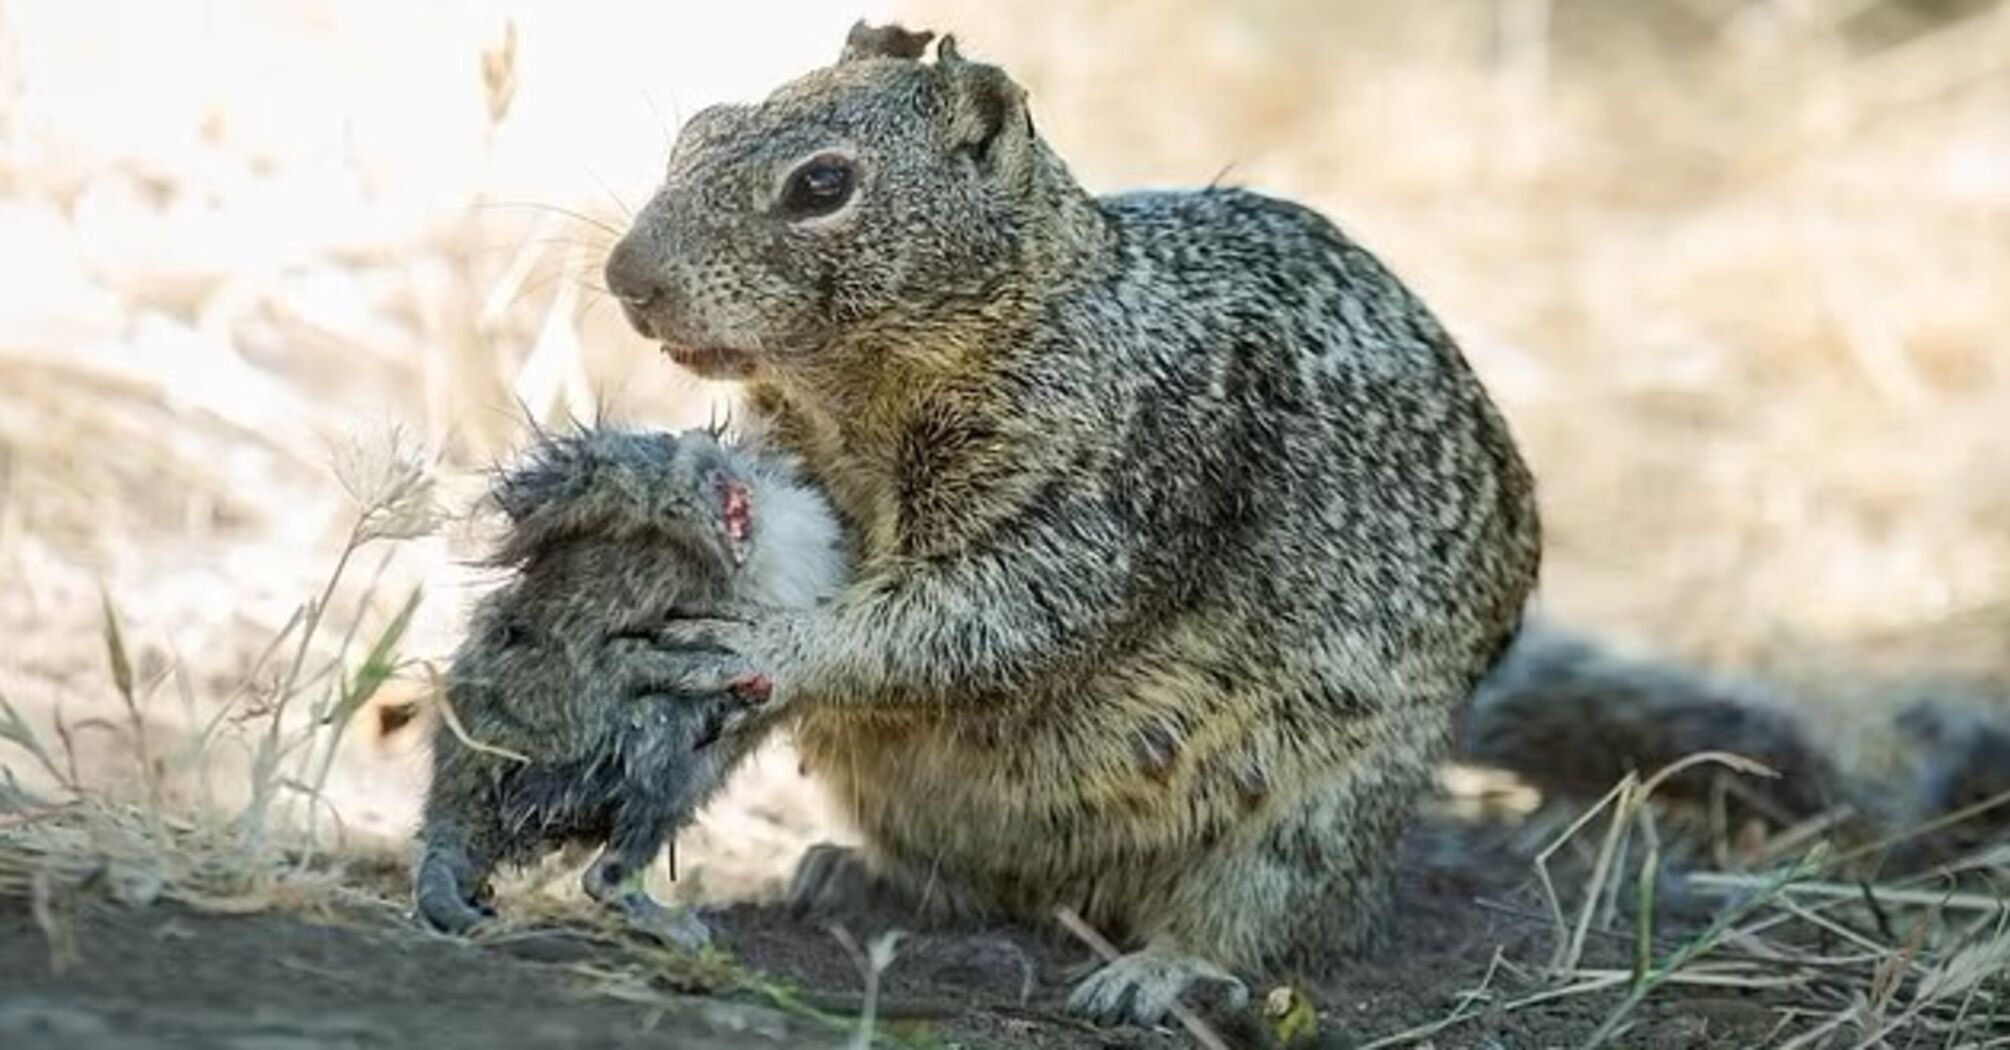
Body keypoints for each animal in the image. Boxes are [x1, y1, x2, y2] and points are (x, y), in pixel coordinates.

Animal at [594, 22, 1535, 1021]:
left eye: (823, 184)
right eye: (697, 130)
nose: (625, 277)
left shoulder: (1108, 498)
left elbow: (981, 618)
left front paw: (766, 642)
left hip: (1317, 813)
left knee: (1262, 919)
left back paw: (1156, 972)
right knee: (975, 888)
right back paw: (855, 876)